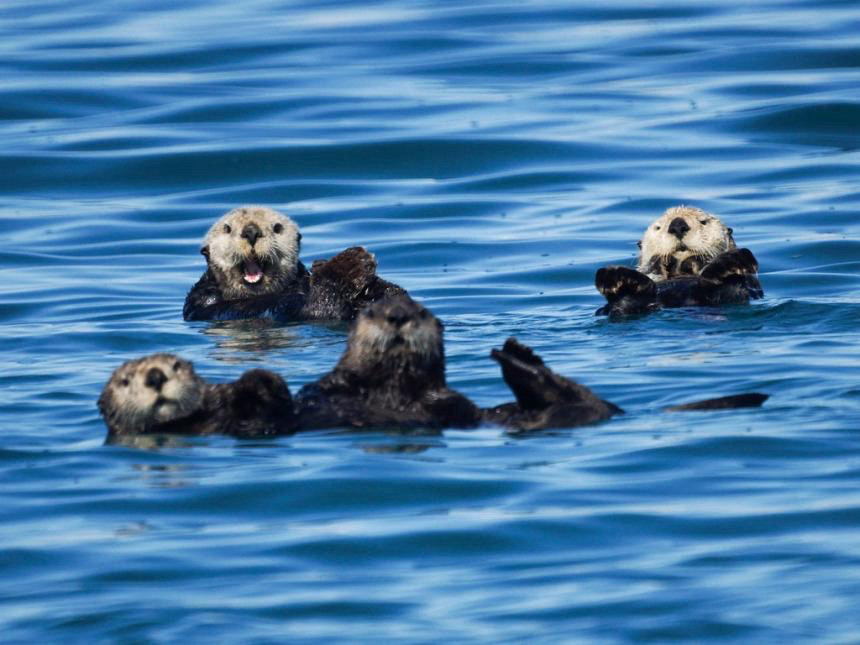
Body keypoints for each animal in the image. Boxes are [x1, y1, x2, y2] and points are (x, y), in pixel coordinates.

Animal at [596, 205, 764, 316]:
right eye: (658, 228)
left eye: (703, 222)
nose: (677, 225)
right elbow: (651, 269)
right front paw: (660, 261)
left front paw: (698, 261)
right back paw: (617, 278)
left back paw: (731, 263)